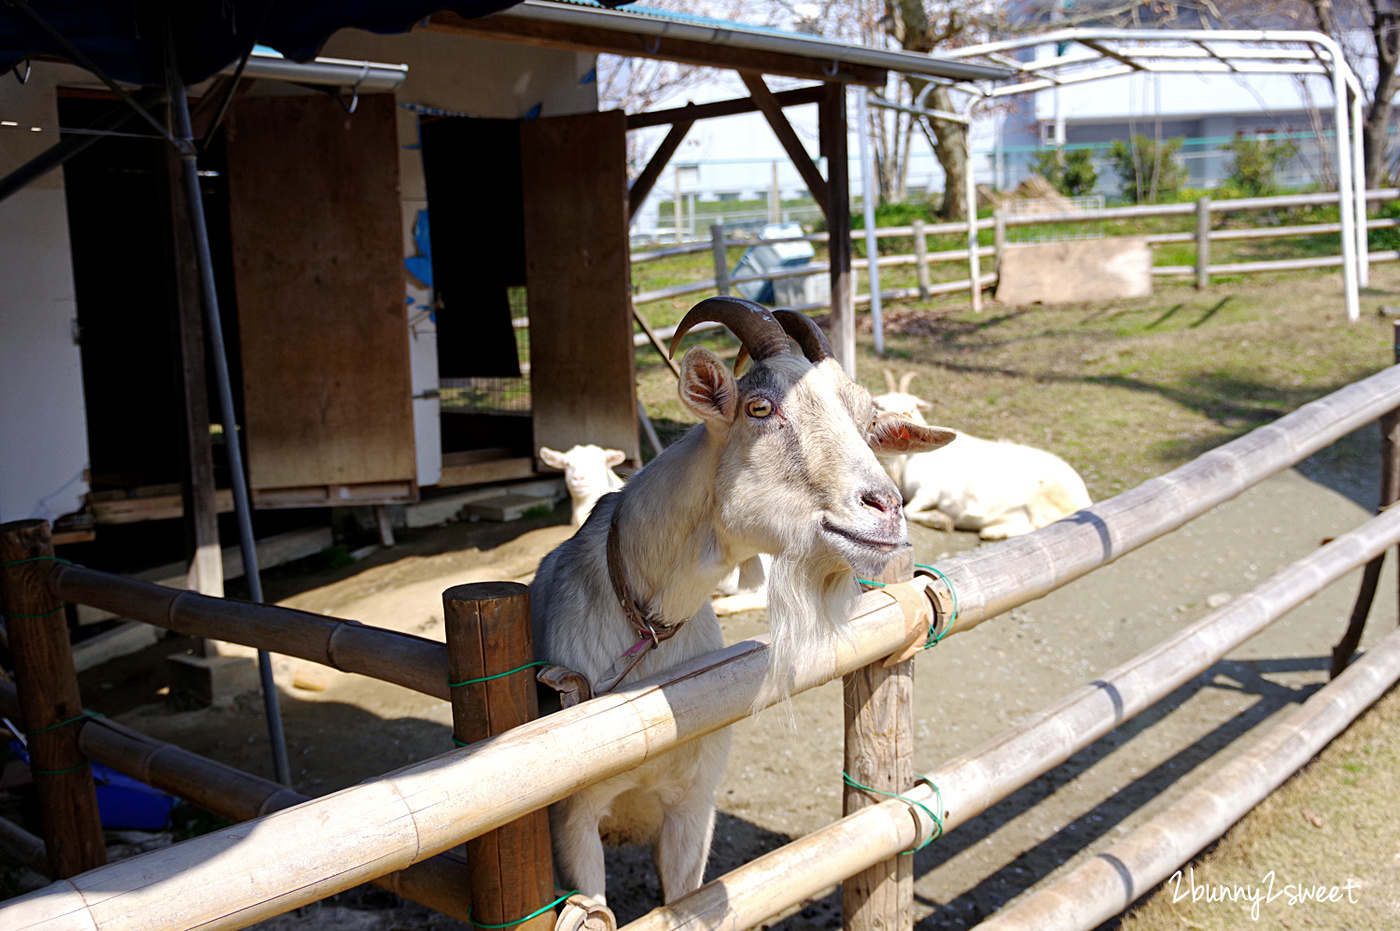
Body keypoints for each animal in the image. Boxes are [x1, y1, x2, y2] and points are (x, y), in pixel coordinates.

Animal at [529, 295, 957, 901]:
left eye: (868, 424)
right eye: (759, 407)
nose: (887, 508)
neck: (646, 628)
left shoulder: (694, 802)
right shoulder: (573, 821)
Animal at [873, 369, 1092, 540]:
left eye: (912, 407)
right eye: (881, 407)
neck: (909, 459)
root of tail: (1084, 497)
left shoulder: (928, 491)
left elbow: (909, 511)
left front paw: (942, 520)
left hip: (1044, 501)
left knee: (1044, 525)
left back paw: (993, 532)